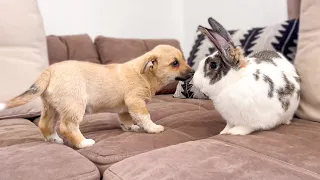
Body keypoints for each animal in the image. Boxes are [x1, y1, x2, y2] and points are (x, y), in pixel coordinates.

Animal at [0, 44, 194, 148]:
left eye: (183, 60)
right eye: (175, 63)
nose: (193, 72)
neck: (145, 74)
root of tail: (51, 69)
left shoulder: (125, 107)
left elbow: (126, 119)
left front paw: (131, 128)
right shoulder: (135, 102)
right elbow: (145, 117)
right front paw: (153, 128)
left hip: (51, 107)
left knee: (45, 124)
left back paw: (53, 139)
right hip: (74, 105)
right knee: (67, 127)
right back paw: (83, 143)